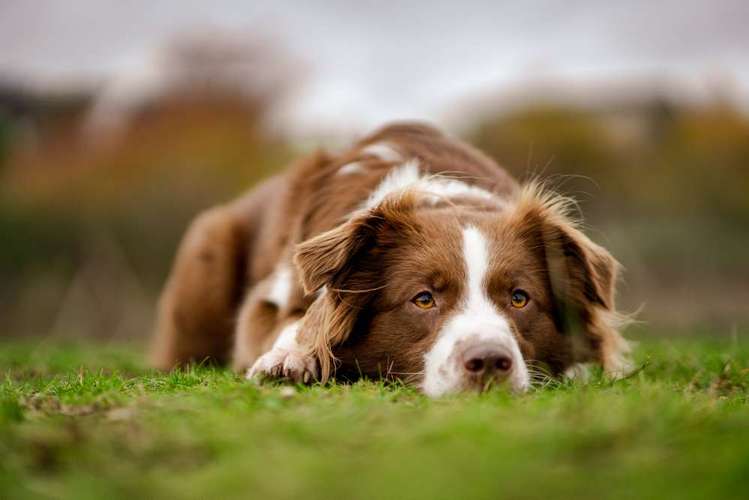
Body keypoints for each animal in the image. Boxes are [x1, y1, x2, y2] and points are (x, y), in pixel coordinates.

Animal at [152, 121, 632, 394]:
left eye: (519, 298)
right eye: (423, 299)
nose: (490, 363)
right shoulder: (267, 298)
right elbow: (297, 319)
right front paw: (290, 357)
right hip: (207, 244)